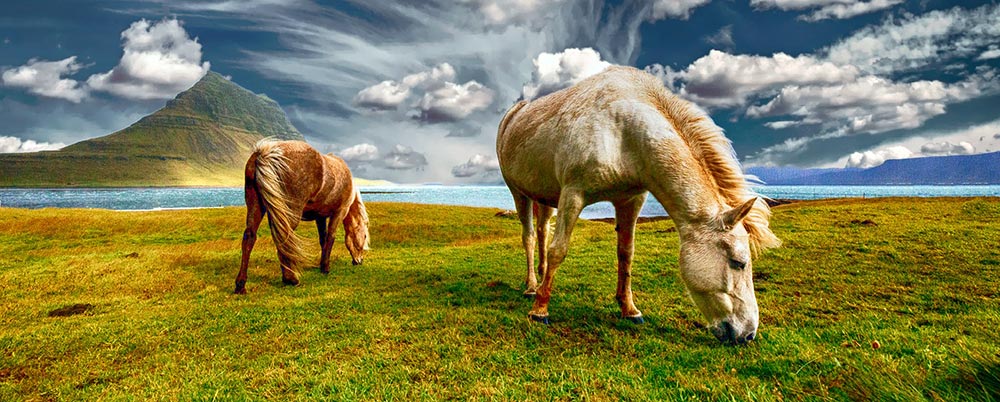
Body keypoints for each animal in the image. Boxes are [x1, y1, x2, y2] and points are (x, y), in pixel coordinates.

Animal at [236, 140, 370, 294]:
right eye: (364, 236)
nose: (359, 261)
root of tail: (266, 153)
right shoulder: (339, 212)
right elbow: (330, 238)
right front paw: (325, 268)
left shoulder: (320, 217)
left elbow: (323, 239)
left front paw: (322, 265)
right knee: (284, 237)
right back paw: (290, 279)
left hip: (257, 206)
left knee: (250, 237)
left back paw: (240, 284)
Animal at [494, 67, 780, 344]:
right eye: (738, 263)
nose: (748, 334)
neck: (623, 131)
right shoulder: (573, 195)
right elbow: (558, 250)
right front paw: (540, 310)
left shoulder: (630, 200)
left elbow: (626, 254)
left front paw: (629, 309)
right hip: (519, 193)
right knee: (530, 237)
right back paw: (533, 287)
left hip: (545, 197)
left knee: (543, 231)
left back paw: (542, 278)